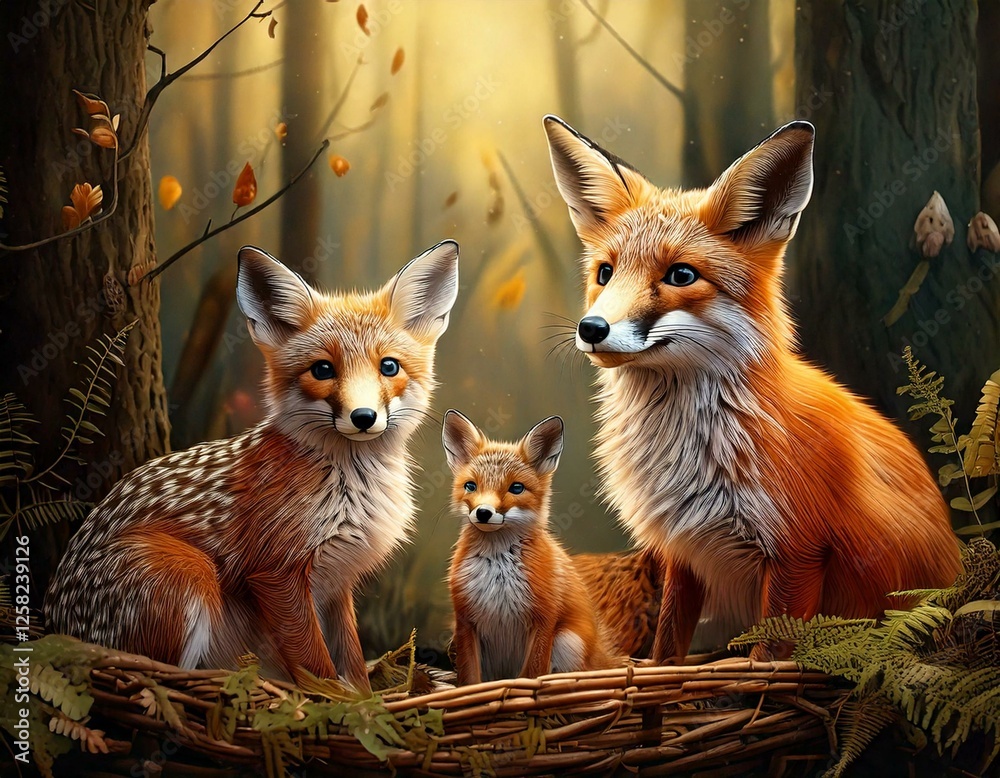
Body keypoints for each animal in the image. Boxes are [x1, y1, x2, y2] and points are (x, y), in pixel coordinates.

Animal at [45, 240, 460, 692]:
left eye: (389, 366)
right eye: (322, 369)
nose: (364, 417)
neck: (354, 489)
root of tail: (51, 622)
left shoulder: (338, 579)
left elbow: (350, 658)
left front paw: (367, 700)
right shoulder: (277, 573)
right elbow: (318, 668)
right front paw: (337, 702)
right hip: (188, 573)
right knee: (165, 675)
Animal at [442, 410, 616, 684]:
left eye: (516, 488)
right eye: (471, 486)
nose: (483, 513)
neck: (498, 573)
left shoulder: (544, 618)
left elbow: (532, 673)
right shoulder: (465, 621)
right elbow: (469, 678)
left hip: (567, 641)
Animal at [542, 114, 961, 663]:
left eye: (681, 275)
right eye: (605, 273)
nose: (592, 328)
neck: (689, 455)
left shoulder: (797, 553)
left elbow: (767, 658)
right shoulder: (685, 551)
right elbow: (668, 647)